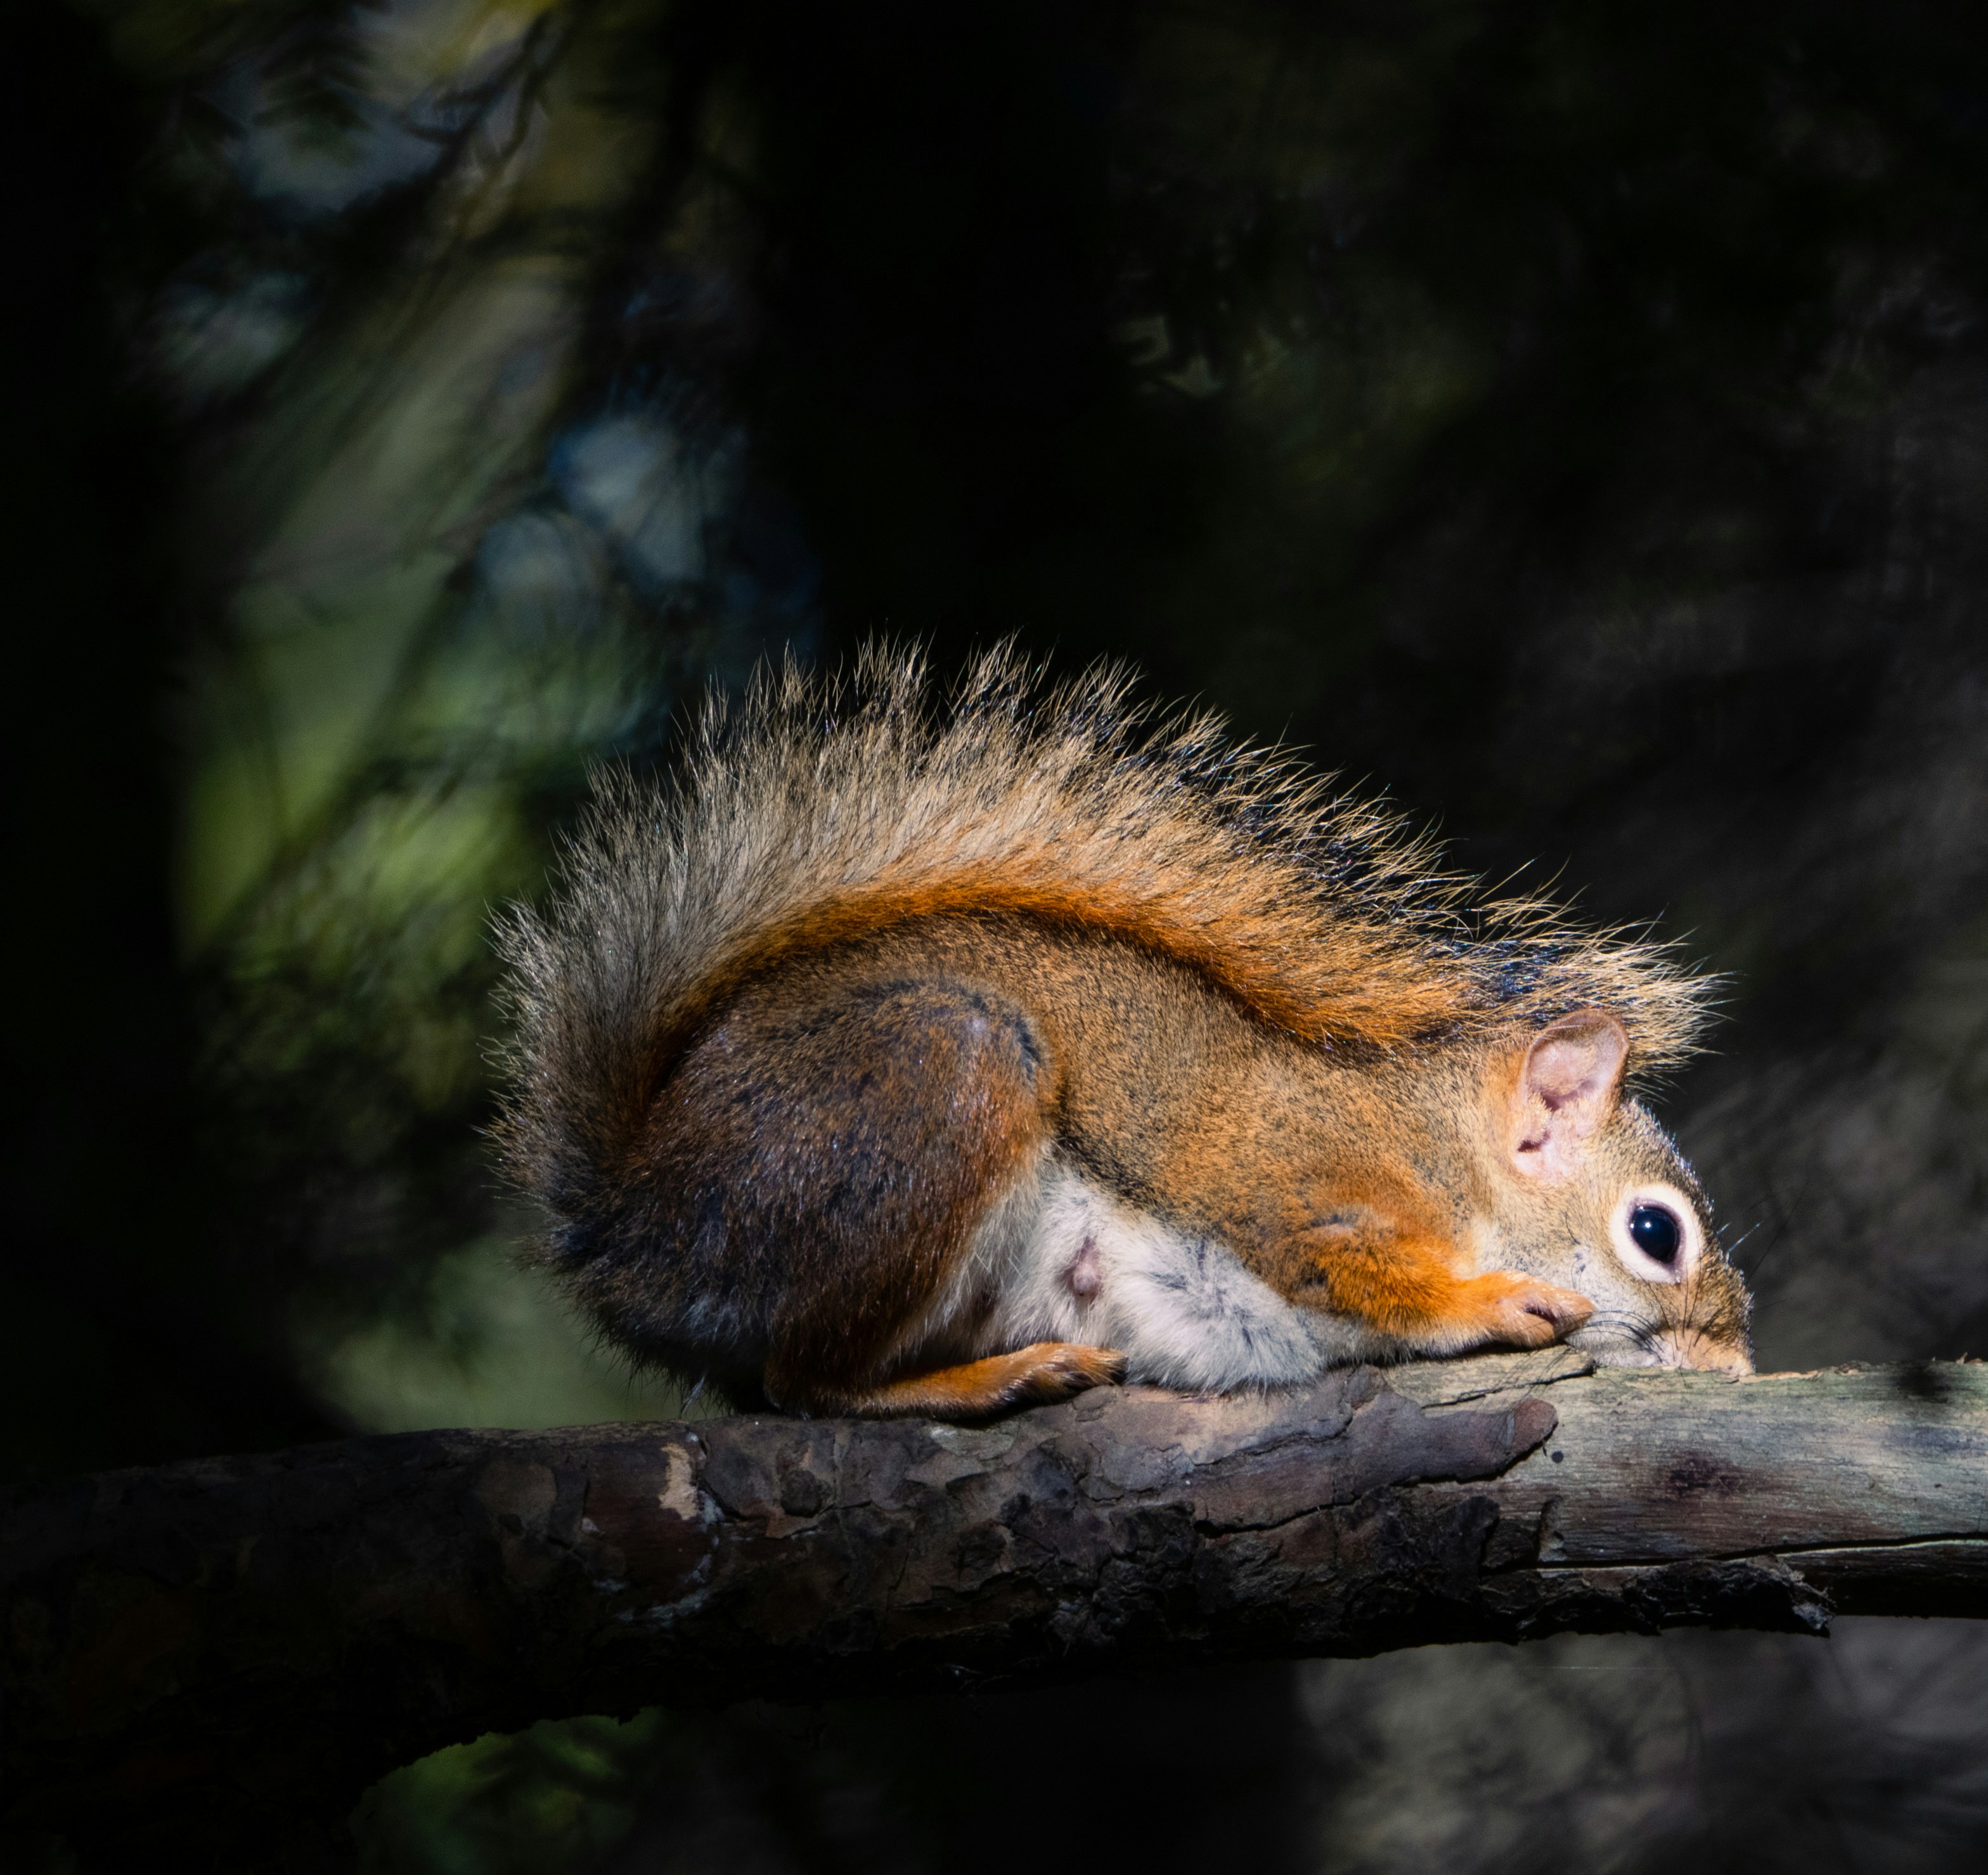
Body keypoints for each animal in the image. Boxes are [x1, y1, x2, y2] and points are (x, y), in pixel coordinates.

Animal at [496, 645, 1753, 1420]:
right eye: (1655, 1232)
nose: (1738, 1368)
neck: (1442, 1146)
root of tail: (630, 1231)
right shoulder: (1301, 1174)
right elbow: (1351, 1269)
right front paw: (1497, 1302)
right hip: (933, 1085)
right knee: (806, 1380)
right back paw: (985, 1381)